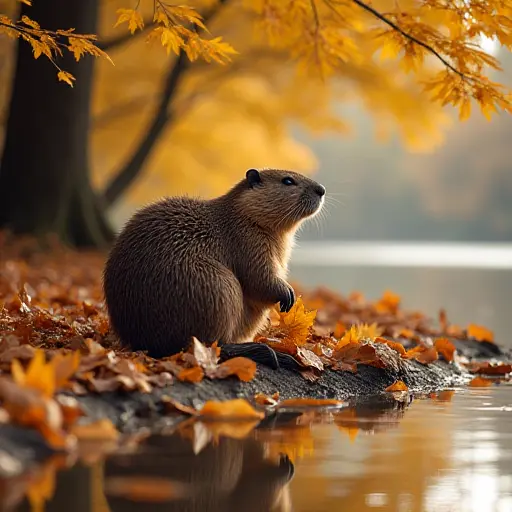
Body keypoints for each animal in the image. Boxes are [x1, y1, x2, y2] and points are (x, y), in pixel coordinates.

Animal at [102, 167, 326, 364]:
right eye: (287, 180)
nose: (321, 189)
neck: (235, 216)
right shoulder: (247, 242)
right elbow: (258, 279)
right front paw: (287, 295)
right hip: (220, 285)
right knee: (211, 345)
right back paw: (270, 354)